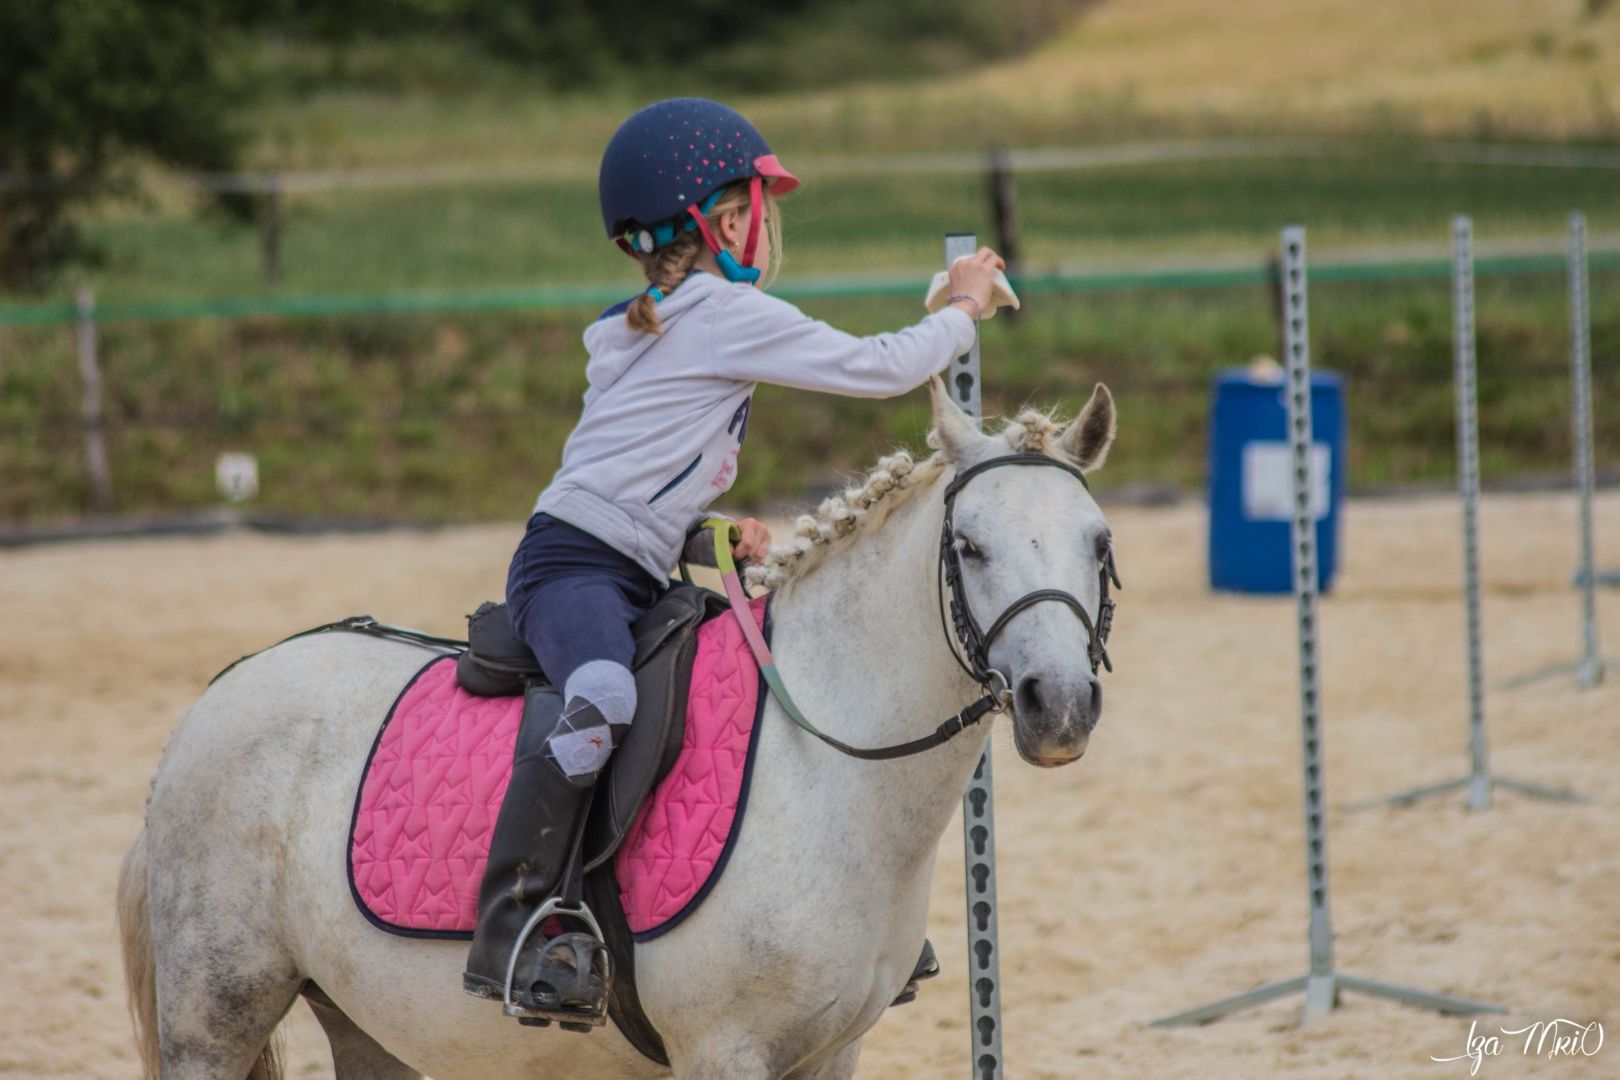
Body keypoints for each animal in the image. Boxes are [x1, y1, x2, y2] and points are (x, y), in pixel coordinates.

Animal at [119, 374, 1121, 1080]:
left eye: (1099, 541)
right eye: (970, 547)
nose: (1059, 705)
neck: (826, 767)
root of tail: (222, 692)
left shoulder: (834, 1053)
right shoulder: (725, 1051)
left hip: (361, 1016)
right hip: (216, 1013)